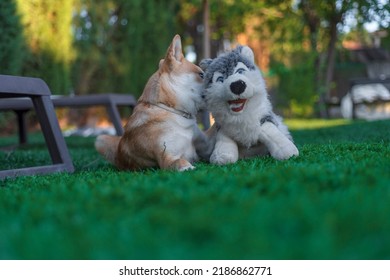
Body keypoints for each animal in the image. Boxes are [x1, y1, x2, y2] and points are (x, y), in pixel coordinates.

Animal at [95, 35, 210, 171]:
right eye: (201, 75)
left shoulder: (204, 144)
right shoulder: (167, 157)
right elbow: (181, 161)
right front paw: (190, 168)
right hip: (100, 139)